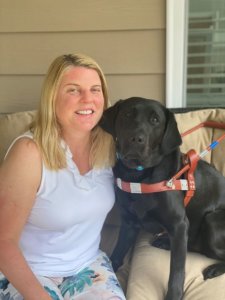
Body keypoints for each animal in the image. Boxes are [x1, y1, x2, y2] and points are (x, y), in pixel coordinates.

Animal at [99, 97, 225, 298]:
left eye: (155, 120)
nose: (136, 138)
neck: (137, 176)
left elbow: (177, 270)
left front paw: (173, 295)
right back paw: (165, 242)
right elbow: (117, 253)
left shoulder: (180, 225)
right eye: (127, 114)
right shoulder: (129, 223)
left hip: (212, 221)